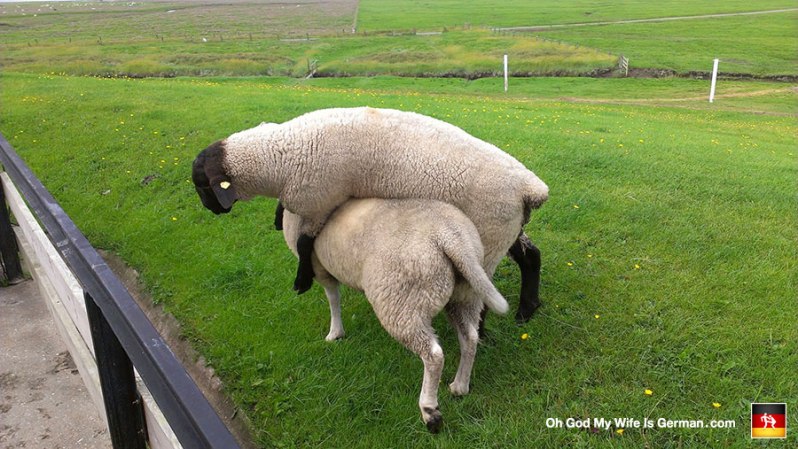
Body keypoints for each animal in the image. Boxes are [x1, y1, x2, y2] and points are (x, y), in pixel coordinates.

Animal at [192, 107, 548, 321]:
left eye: (204, 186)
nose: (213, 210)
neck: (279, 157)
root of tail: (529, 188)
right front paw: (279, 217)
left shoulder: (320, 201)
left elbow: (306, 244)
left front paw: (301, 281)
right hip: (506, 228)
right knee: (531, 256)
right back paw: (527, 309)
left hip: (490, 234)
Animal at [280, 197, 509, 432]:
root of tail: (449, 238)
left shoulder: (320, 269)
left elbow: (333, 299)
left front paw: (335, 332)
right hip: (464, 294)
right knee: (469, 337)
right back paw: (460, 386)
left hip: (402, 302)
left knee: (433, 355)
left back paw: (429, 410)